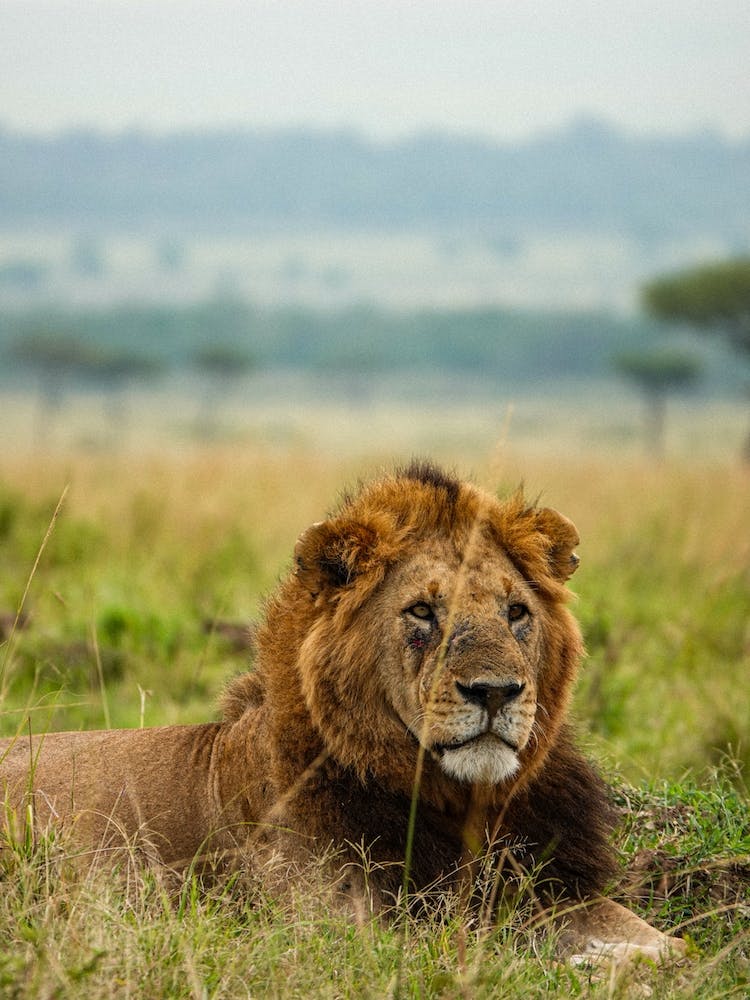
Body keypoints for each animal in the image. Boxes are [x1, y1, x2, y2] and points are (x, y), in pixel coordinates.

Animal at [1, 461, 684, 963]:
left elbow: (670, 945)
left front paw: (649, 958)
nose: (495, 691)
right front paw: (597, 965)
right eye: (422, 612)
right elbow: (493, 949)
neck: (462, 804)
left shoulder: (549, 890)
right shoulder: (332, 928)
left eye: (516, 612)